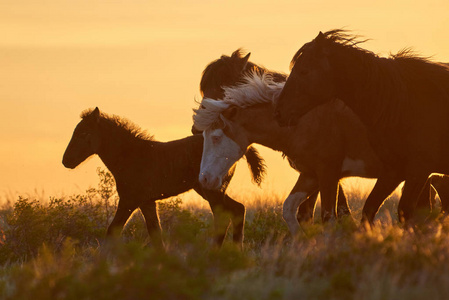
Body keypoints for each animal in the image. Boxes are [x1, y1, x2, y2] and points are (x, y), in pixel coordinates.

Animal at [63, 106, 266, 247]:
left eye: (83, 133)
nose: (66, 161)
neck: (131, 155)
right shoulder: (146, 202)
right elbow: (156, 234)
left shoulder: (129, 199)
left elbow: (113, 231)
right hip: (210, 189)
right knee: (238, 209)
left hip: (211, 190)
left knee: (223, 216)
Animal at [274, 29, 449, 223]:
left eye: (304, 71)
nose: (279, 112)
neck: (402, 104)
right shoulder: (394, 170)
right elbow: (369, 209)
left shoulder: (418, 170)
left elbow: (405, 212)